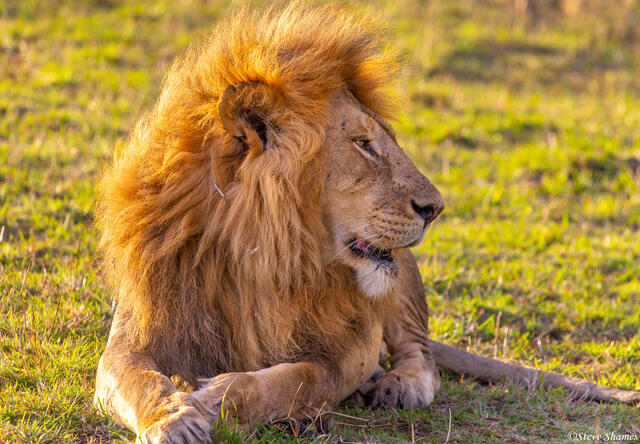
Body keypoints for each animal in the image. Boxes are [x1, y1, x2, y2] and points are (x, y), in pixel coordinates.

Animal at [94, 3, 445, 442]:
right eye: (363, 144)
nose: (436, 208)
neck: (261, 259)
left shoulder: (355, 344)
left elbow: (303, 379)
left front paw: (218, 401)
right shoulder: (134, 334)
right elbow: (141, 381)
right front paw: (175, 419)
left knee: (420, 351)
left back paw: (400, 385)